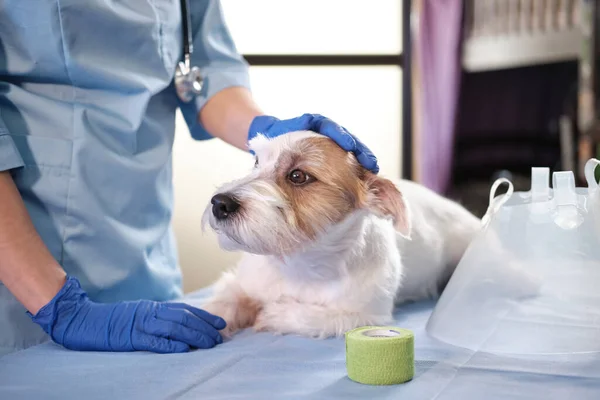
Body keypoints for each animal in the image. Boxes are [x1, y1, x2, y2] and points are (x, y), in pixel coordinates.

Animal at [199, 130, 480, 338]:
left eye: (298, 176)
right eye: (257, 162)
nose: (219, 203)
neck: (301, 262)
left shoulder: (364, 315)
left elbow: (311, 316)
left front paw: (273, 314)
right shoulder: (241, 283)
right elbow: (223, 303)